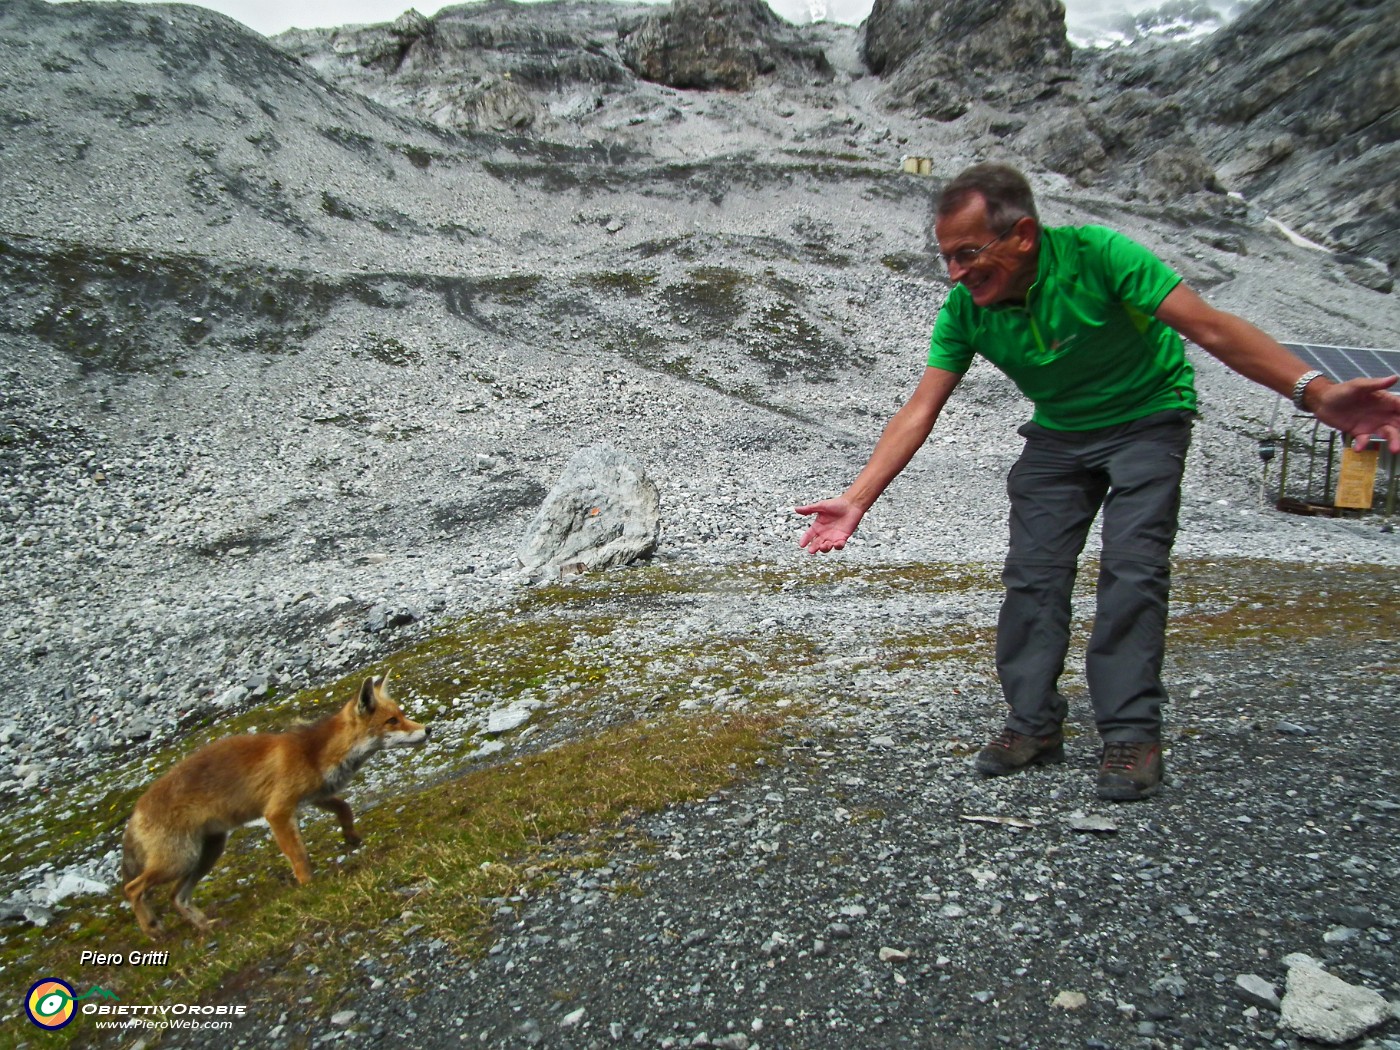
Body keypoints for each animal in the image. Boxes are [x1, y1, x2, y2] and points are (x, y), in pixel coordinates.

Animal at [119, 669, 425, 940]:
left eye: (402, 715)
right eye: (392, 721)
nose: (428, 729)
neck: (312, 752)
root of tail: (136, 811)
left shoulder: (315, 795)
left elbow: (345, 807)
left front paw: (351, 837)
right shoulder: (277, 811)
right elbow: (299, 855)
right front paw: (309, 887)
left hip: (208, 852)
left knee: (176, 896)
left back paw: (205, 926)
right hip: (180, 859)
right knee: (133, 888)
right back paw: (152, 928)